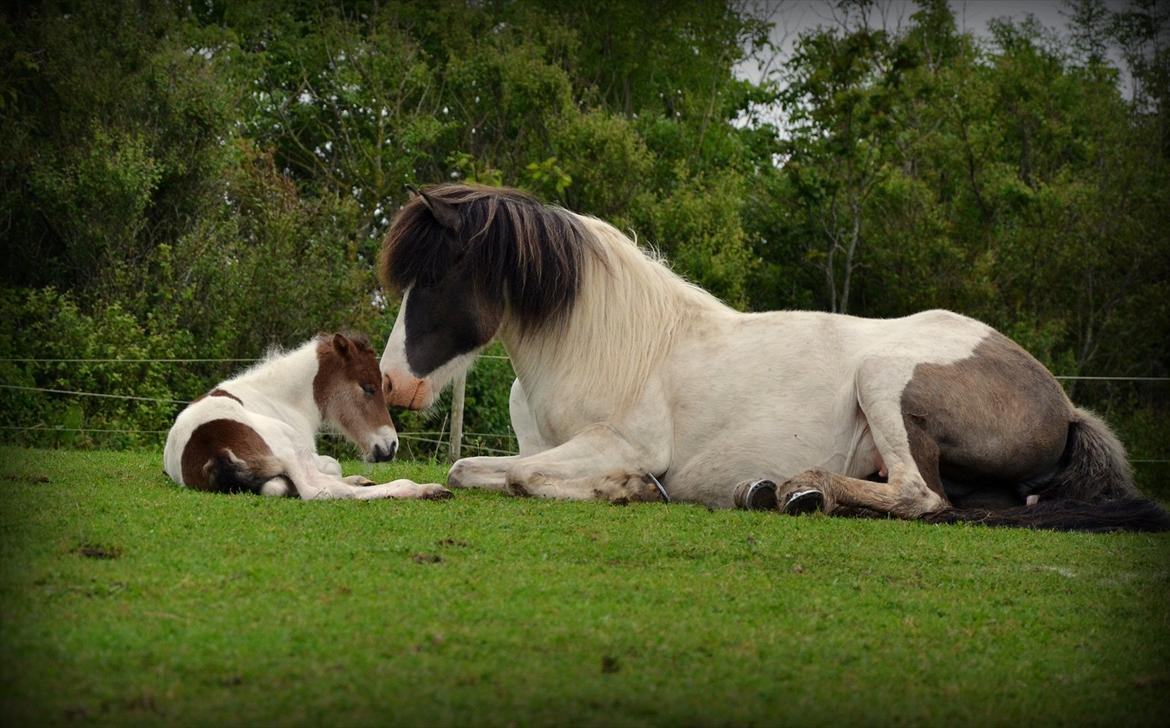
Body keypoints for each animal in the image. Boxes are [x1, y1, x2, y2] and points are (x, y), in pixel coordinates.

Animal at [167, 334, 449, 500]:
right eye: (368, 387)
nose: (390, 446)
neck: (280, 398)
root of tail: (215, 452)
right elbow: (332, 466)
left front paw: (360, 479)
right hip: (287, 446)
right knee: (318, 490)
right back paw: (423, 489)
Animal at [379, 184, 1165, 533]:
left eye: (436, 276)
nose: (390, 383)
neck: (610, 346)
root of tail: (1063, 403)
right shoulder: (538, 445)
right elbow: (477, 469)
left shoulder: (618, 443)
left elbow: (516, 477)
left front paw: (630, 489)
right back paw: (773, 490)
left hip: (882, 377)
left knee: (921, 496)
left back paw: (801, 489)